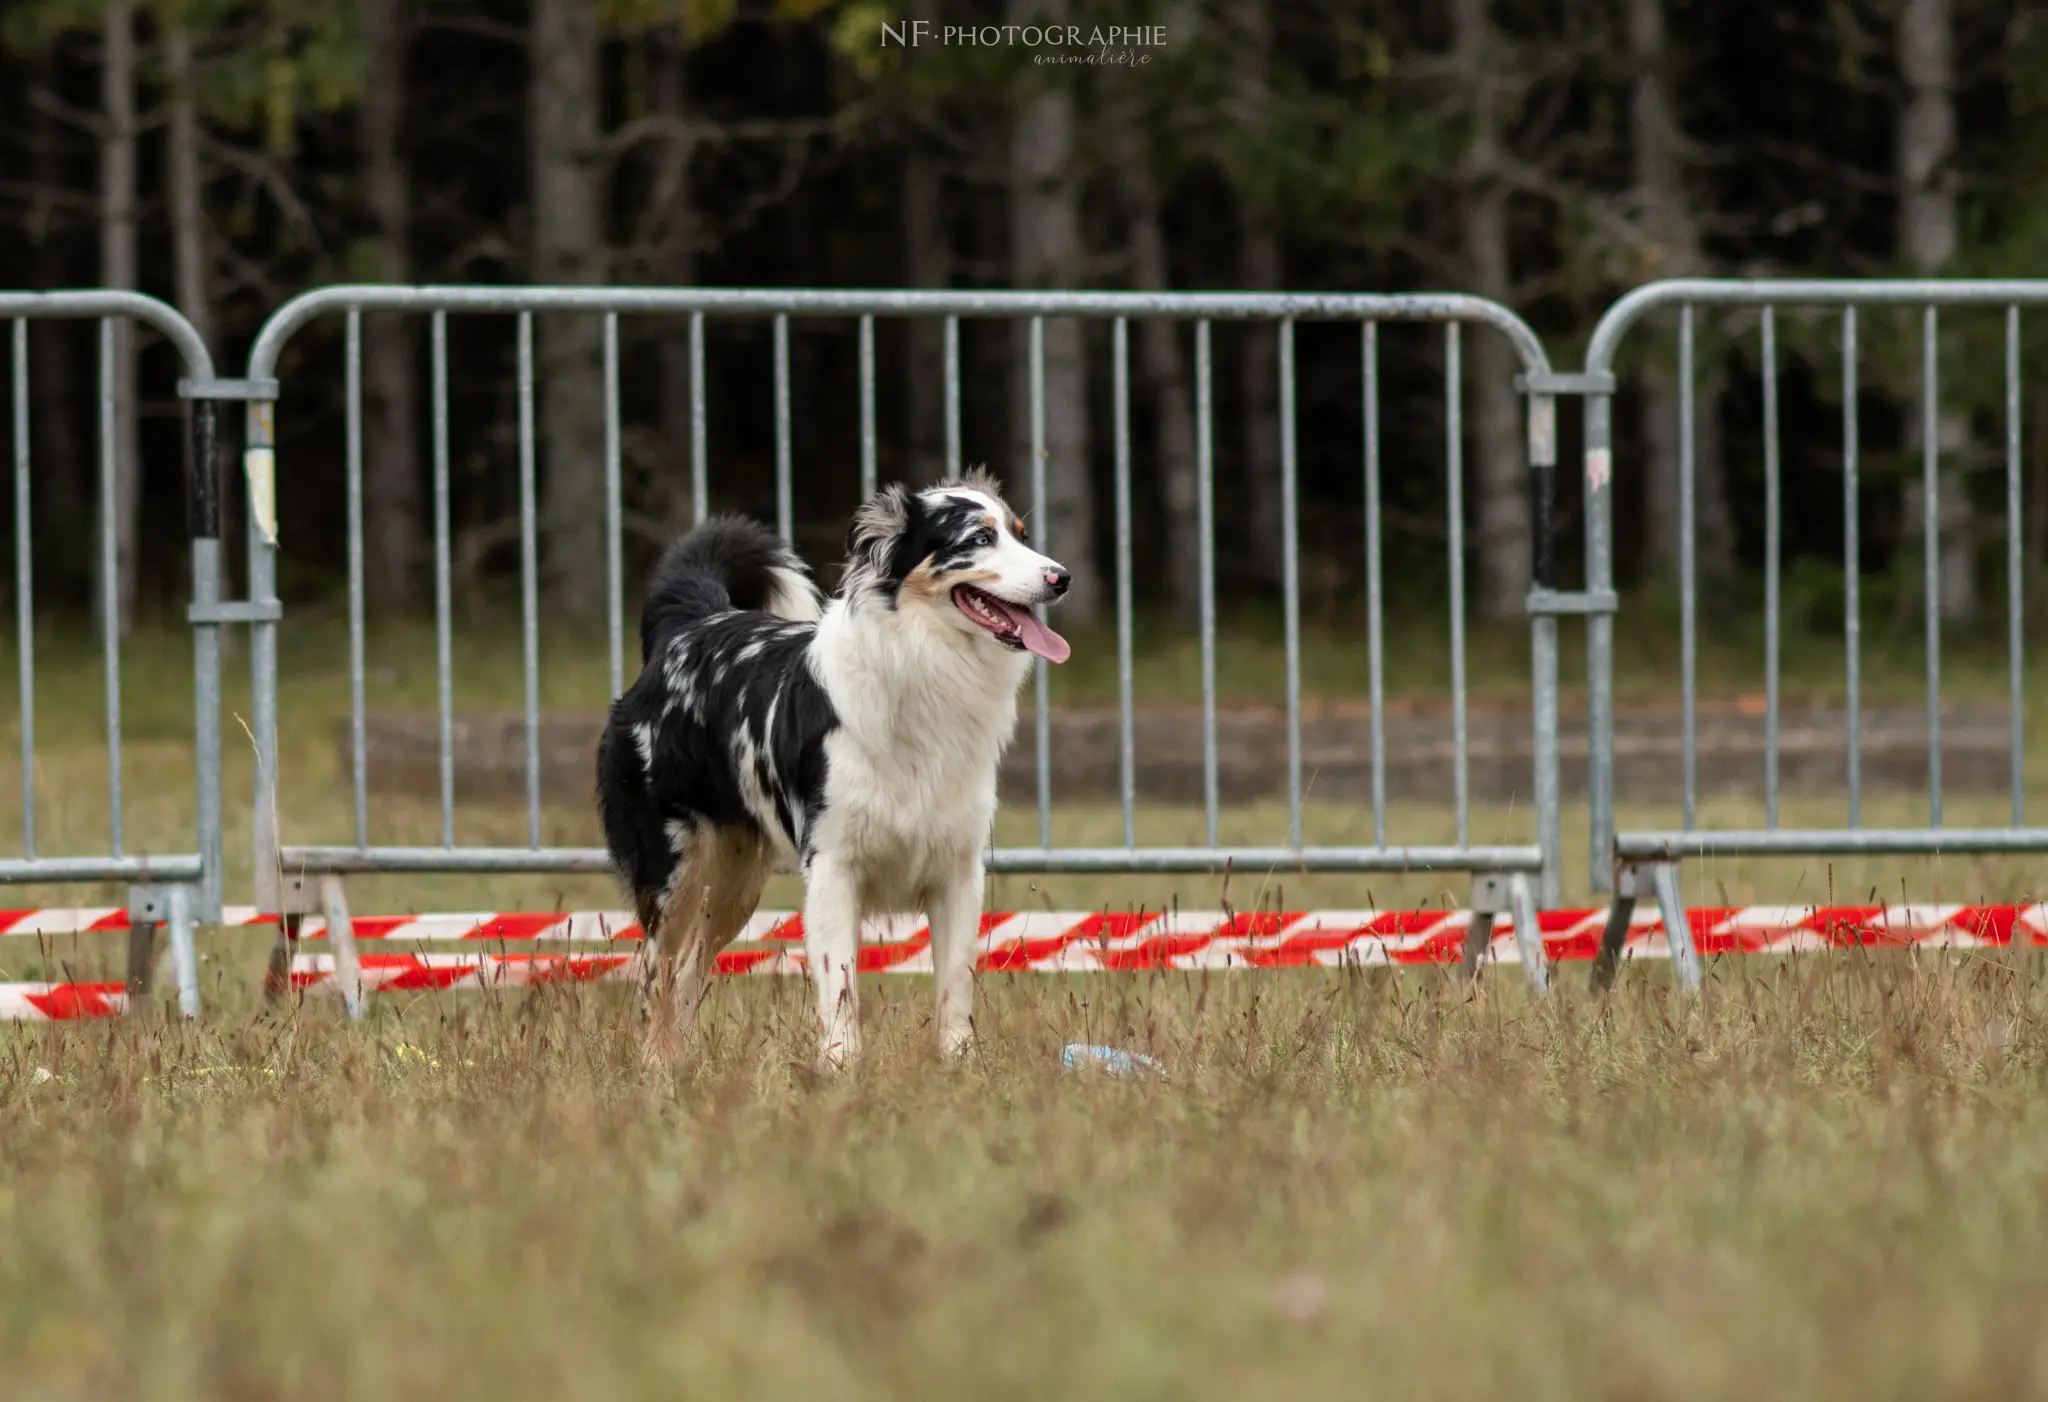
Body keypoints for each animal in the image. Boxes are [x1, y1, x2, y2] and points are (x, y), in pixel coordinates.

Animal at [593, 472, 1073, 1072]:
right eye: (979, 539)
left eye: (1021, 535)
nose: (1061, 578)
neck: (923, 663)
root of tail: (692, 625)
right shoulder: (832, 866)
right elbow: (840, 980)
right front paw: (841, 1069)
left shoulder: (959, 870)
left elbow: (955, 983)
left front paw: (959, 1066)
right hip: (675, 874)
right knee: (655, 971)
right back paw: (656, 1069)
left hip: (733, 888)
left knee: (686, 972)